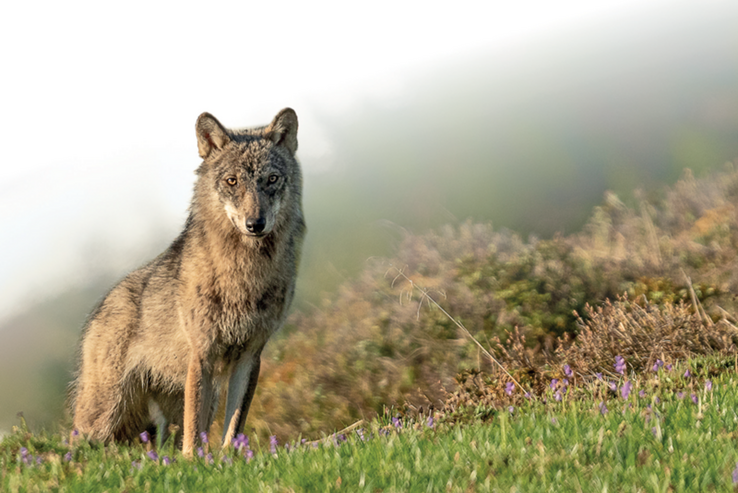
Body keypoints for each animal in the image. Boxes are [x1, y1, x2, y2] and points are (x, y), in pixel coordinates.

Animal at [70, 108, 305, 457]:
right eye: (232, 181)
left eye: (271, 180)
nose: (255, 224)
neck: (243, 274)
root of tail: (99, 307)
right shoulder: (202, 353)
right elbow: (195, 430)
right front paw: (193, 461)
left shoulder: (250, 355)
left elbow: (234, 424)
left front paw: (229, 458)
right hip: (105, 413)